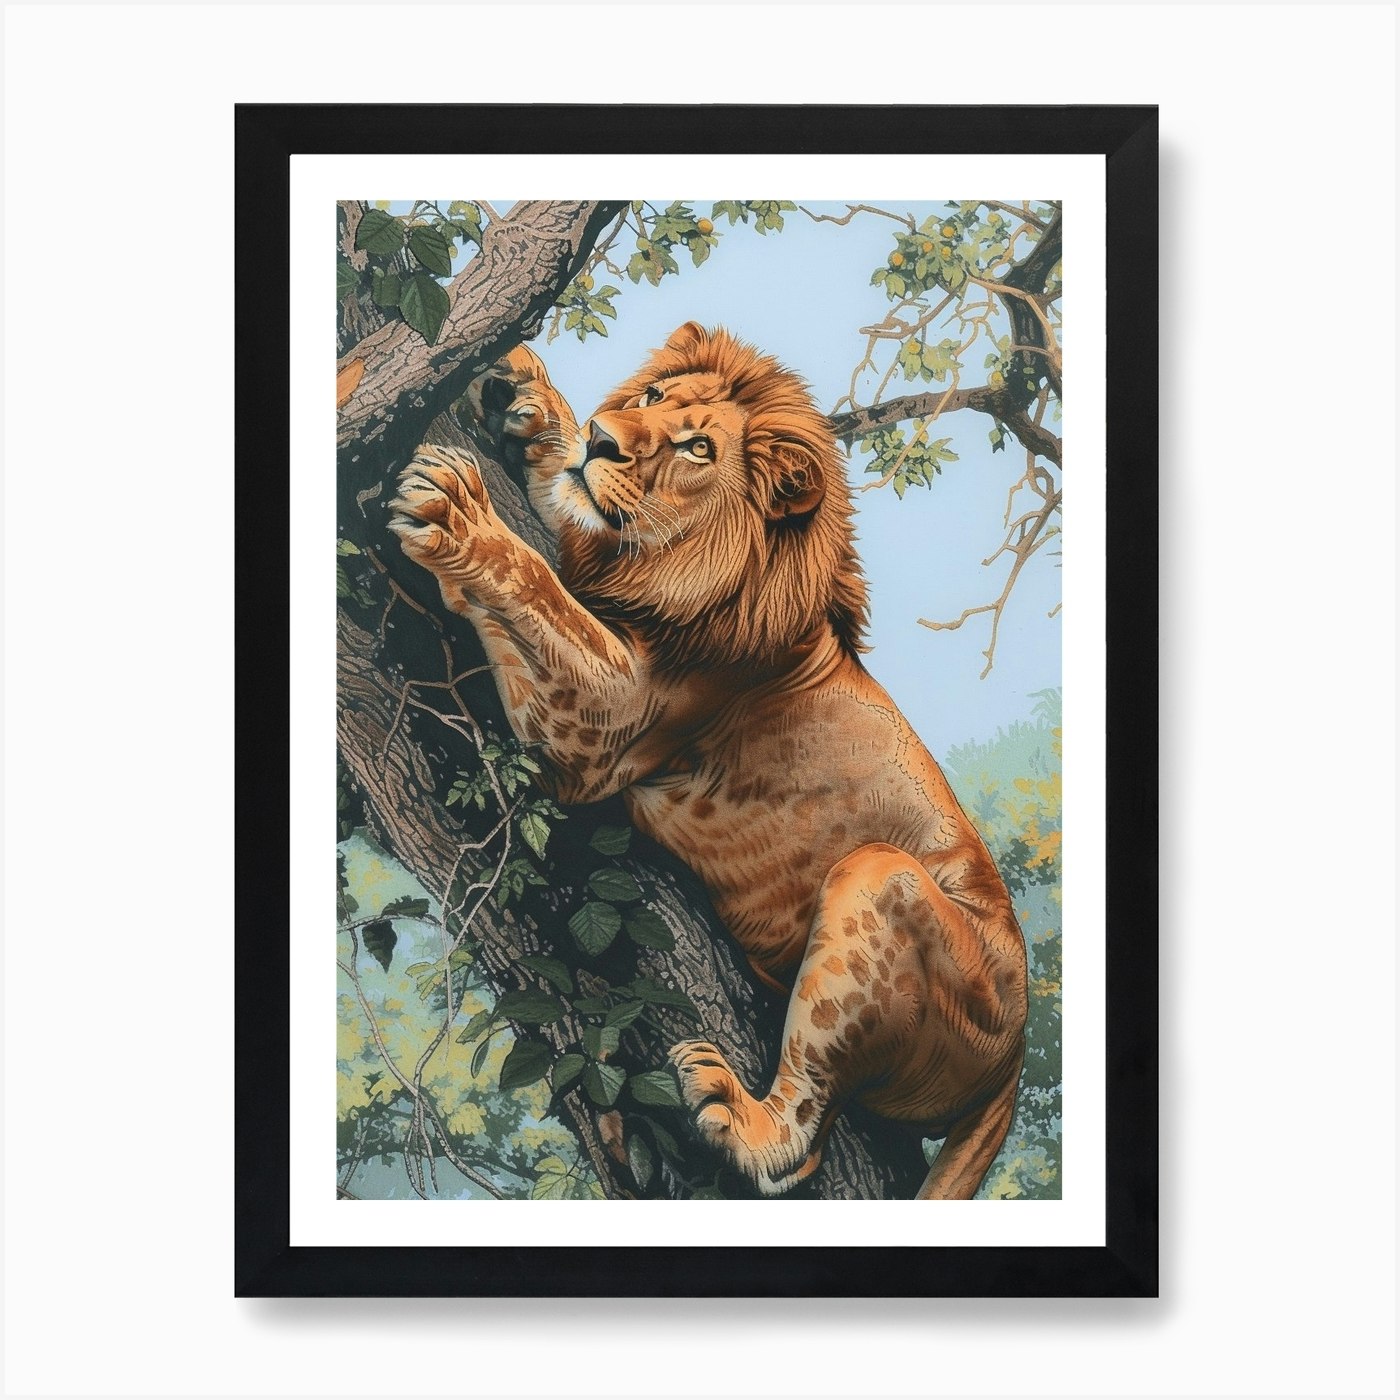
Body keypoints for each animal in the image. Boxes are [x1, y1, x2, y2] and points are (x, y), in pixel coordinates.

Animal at [389, 321, 1029, 1199]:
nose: (602, 440)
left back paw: (735, 1112)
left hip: (883, 885)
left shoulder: (609, 723)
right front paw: (531, 404)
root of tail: (1017, 1061)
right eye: (653, 397)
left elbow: (537, 580)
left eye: (697, 448)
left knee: (804, 1141)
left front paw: (455, 510)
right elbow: (565, 521)